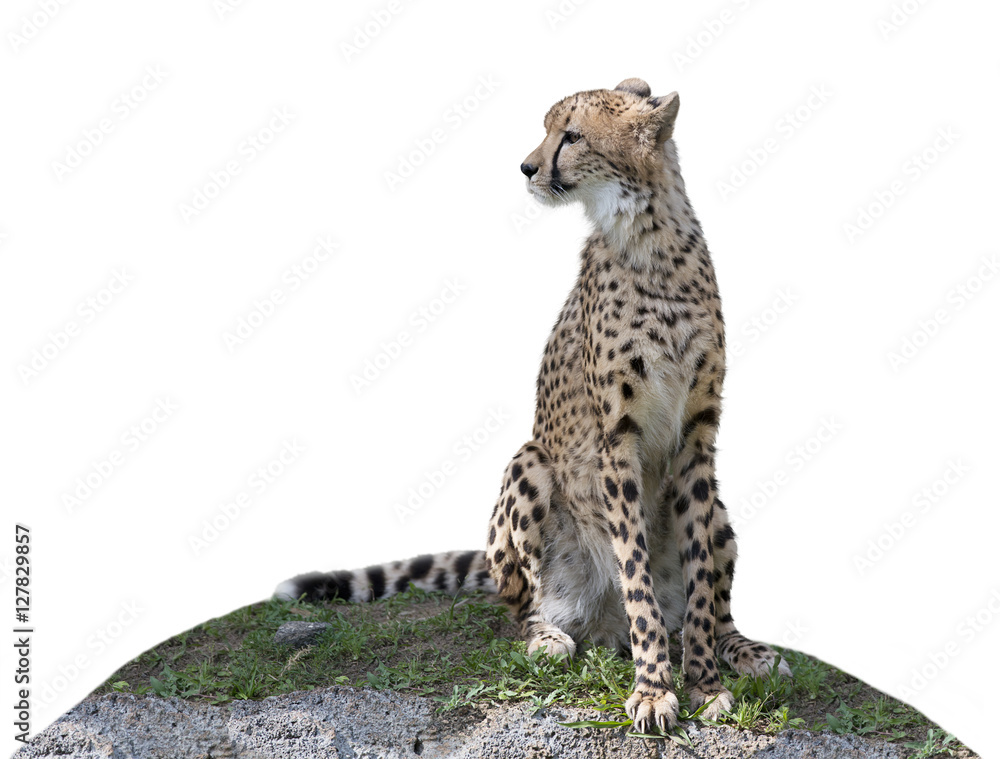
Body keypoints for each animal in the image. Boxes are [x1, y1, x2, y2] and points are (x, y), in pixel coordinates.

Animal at [274, 78, 788, 736]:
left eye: (571, 135)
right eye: (547, 131)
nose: (526, 167)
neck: (647, 237)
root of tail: (601, 626)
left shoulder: (700, 436)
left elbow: (698, 581)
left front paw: (702, 682)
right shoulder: (615, 438)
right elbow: (637, 576)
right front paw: (654, 688)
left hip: (718, 503)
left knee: (715, 595)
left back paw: (744, 649)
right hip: (530, 464)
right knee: (519, 604)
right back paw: (548, 634)